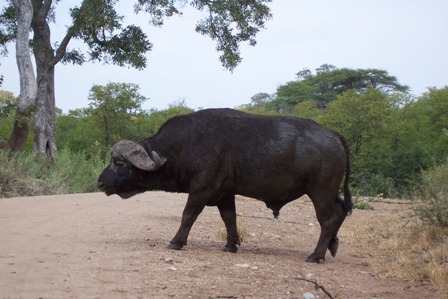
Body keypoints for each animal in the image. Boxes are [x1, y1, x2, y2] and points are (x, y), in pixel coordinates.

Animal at [98, 109, 354, 264]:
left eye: (119, 163)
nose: (100, 182)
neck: (184, 146)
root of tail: (333, 135)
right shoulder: (225, 194)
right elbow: (229, 218)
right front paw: (231, 245)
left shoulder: (201, 190)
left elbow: (188, 215)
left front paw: (176, 241)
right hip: (330, 192)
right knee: (341, 212)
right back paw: (332, 246)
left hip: (320, 191)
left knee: (329, 219)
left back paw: (316, 255)